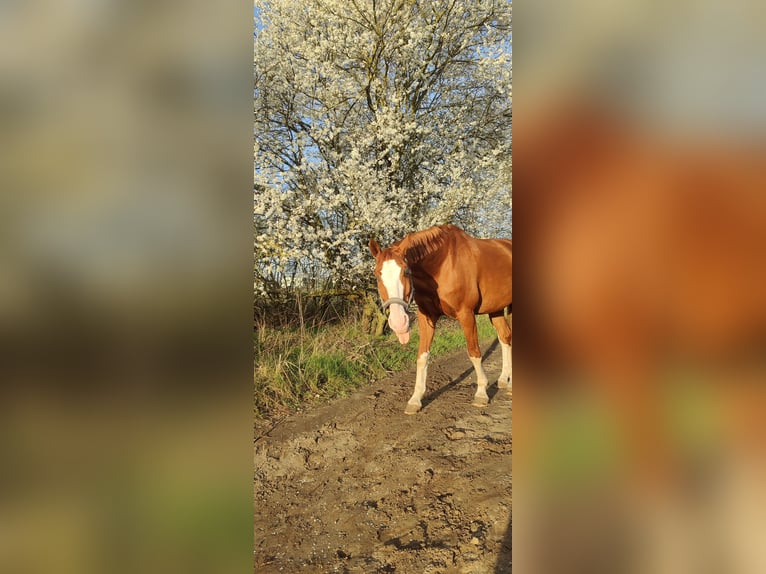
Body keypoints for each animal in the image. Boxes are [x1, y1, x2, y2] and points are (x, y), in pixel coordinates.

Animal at [368, 224, 512, 414]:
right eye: (377, 275)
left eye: (406, 271)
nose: (399, 322)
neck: (443, 265)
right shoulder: (426, 316)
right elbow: (422, 357)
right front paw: (415, 399)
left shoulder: (466, 314)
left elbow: (474, 352)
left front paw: (481, 393)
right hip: (495, 309)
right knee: (505, 337)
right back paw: (504, 380)